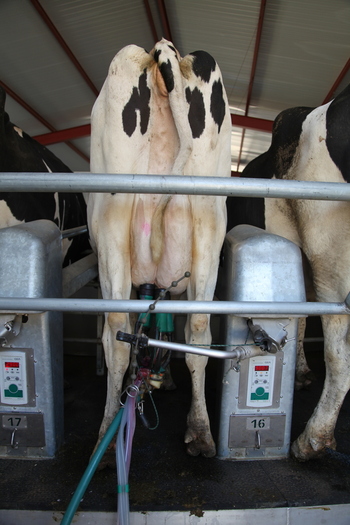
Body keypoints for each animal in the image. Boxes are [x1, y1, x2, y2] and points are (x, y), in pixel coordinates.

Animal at [86, 37, 231, 458]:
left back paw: (106, 436)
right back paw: (200, 430)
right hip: (208, 223)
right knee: (198, 330)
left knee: (117, 332)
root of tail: (163, 51)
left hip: (112, 222)